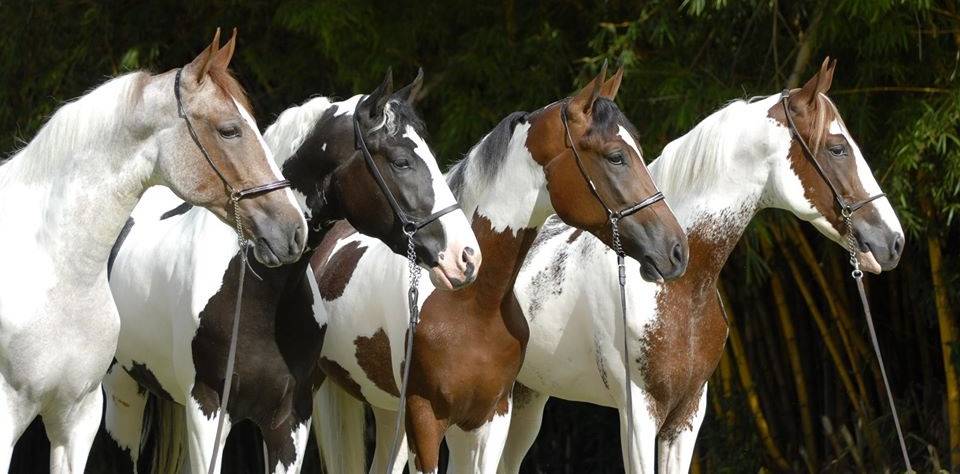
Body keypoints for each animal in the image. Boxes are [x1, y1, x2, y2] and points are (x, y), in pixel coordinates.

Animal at [105, 68, 480, 472]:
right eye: (400, 162)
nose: (466, 257)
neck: (256, 290)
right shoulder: (206, 411)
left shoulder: (290, 421)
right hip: (120, 395)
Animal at [312, 65, 688, 474]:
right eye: (616, 156)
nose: (676, 249)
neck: (472, 304)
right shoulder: (423, 418)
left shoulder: (489, 419)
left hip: (385, 410)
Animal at [498, 59, 904, 474]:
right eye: (838, 149)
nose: (894, 241)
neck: (679, 286)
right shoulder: (637, 415)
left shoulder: (687, 415)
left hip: (529, 399)